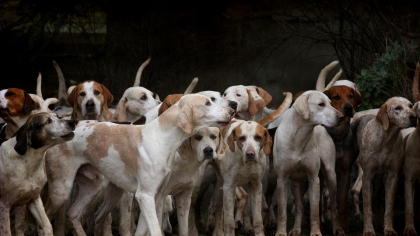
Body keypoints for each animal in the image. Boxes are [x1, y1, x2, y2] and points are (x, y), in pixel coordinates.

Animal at [45, 94, 236, 236]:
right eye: (207, 102)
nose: (232, 110)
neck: (162, 138)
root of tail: (62, 133)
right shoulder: (145, 196)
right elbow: (155, 230)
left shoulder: (156, 196)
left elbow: (142, 230)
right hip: (61, 190)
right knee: (46, 217)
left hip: (94, 188)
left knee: (73, 214)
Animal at [272, 90, 344, 236]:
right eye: (321, 104)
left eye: (330, 103)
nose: (342, 117)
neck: (299, 137)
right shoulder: (282, 179)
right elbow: (282, 212)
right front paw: (281, 232)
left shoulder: (313, 178)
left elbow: (314, 211)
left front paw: (316, 232)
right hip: (295, 184)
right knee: (299, 206)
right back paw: (296, 229)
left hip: (330, 175)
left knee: (333, 205)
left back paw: (337, 228)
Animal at [352, 97, 416, 236]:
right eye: (397, 108)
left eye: (410, 106)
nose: (414, 117)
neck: (386, 140)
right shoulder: (367, 176)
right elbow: (367, 207)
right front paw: (368, 230)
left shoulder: (392, 176)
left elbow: (389, 207)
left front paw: (389, 229)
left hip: (379, 181)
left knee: (376, 202)